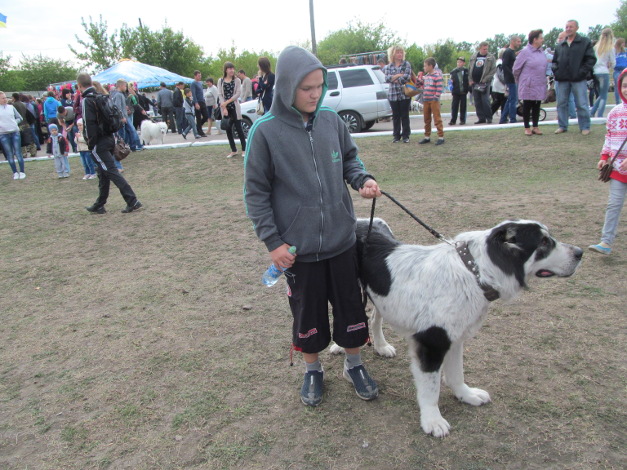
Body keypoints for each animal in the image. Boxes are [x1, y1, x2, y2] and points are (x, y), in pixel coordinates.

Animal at [334, 218, 584, 438]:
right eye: (543, 243)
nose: (580, 253)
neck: (475, 272)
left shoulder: (455, 337)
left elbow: (456, 374)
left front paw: (466, 395)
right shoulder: (432, 343)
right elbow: (431, 387)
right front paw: (432, 420)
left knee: (375, 318)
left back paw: (381, 346)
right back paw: (338, 345)